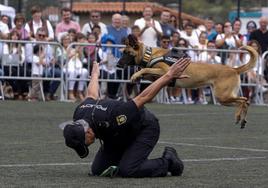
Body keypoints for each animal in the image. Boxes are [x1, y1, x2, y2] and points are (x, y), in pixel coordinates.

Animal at [118, 34, 260, 129]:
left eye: (126, 52)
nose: (118, 65)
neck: (148, 54)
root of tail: (234, 69)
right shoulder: (158, 77)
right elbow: (146, 71)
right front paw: (137, 75)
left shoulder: (165, 71)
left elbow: (145, 68)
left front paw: (135, 74)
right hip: (225, 98)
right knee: (245, 102)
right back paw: (242, 119)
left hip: (222, 96)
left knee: (243, 100)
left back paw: (238, 117)